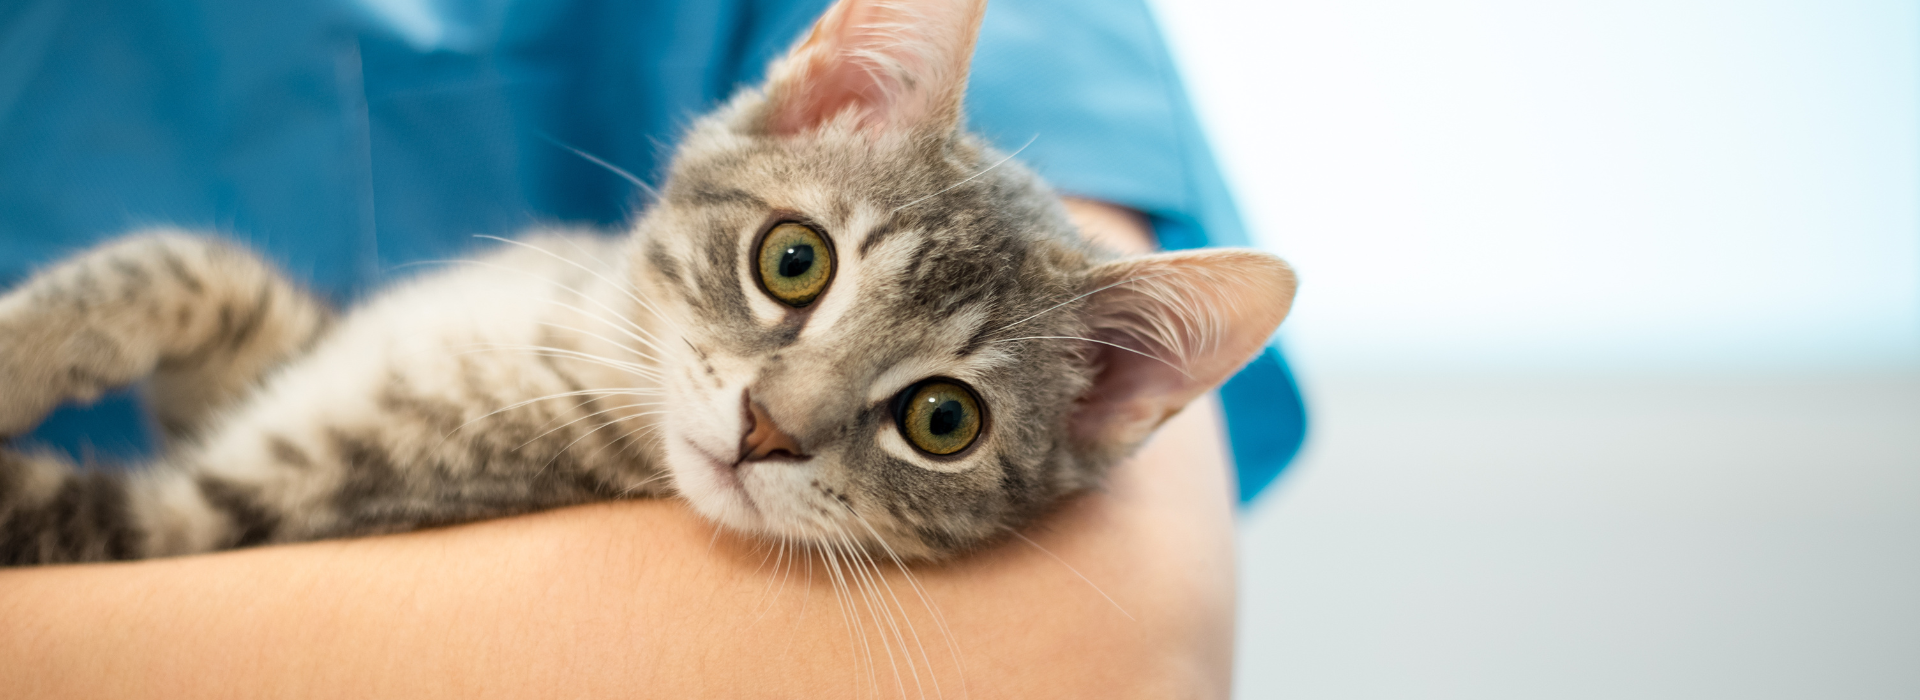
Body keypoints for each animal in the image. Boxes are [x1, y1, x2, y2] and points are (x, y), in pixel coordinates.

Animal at [0, 0, 1297, 560]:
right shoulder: (257, 363)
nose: (769, 427)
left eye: (944, 421)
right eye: (793, 259)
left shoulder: (223, 515)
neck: (565, 333)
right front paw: (28, 339)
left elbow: (51, 511)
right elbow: (194, 268)